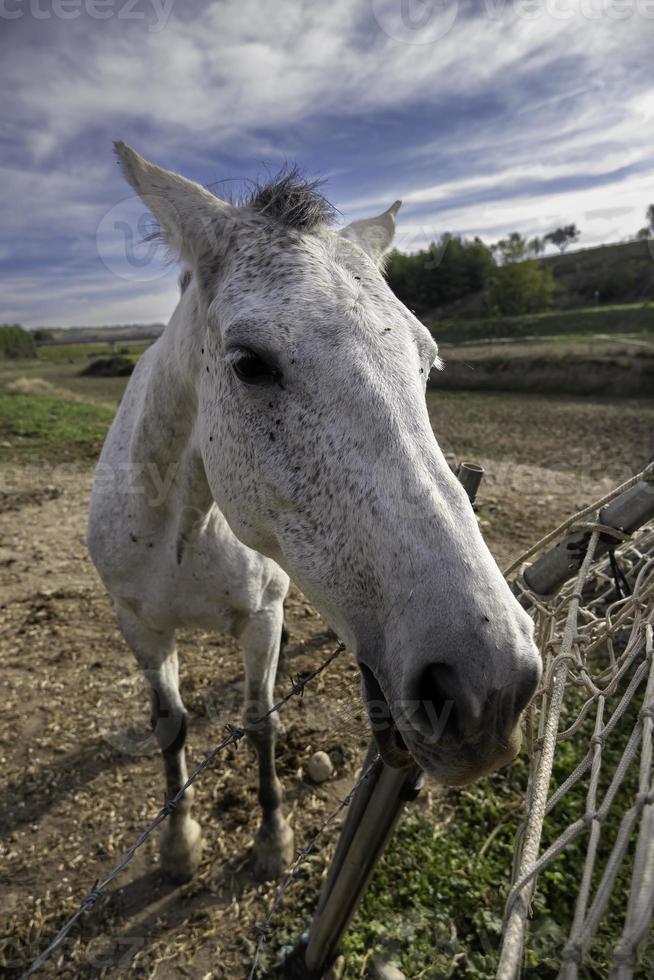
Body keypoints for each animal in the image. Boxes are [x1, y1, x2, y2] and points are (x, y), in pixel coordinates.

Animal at [88, 144, 544, 880]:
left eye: (427, 362)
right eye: (249, 363)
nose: (490, 688)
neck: (184, 526)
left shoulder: (262, 617)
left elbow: (260, 723)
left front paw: (272, 839)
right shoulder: (139, 626)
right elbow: (171, 724)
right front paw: (178, 842)